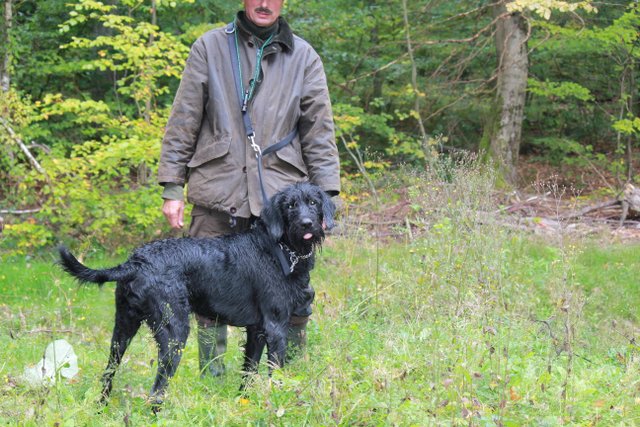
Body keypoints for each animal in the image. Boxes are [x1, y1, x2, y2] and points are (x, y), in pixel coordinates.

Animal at [57, 182, 335, 408]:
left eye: (313, 202)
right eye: (290, 206)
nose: (307, 224)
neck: (281, 248)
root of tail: (135, 262)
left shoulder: (256, 330)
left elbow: (248, 372)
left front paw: (243, 403)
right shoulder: (275, 327)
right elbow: (275, 373)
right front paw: (278, 403)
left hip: (122, 329)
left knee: (108, 374)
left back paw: (101, 409)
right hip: (174, 334)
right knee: (156, 390)